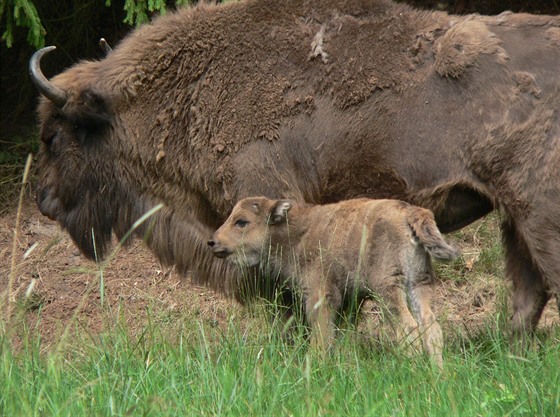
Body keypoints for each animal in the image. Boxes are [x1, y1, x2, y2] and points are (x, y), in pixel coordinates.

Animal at [208, 197, 458, 362]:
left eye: (241, 221)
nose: (212, 242)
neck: (296, 233)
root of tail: (410, 214)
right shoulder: (348, 299)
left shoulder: (320, 295)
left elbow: (322, 331)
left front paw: (315, 361)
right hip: (420, 283)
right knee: (431, 326)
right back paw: (437, 373)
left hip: (389, 289)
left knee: (408, 326)